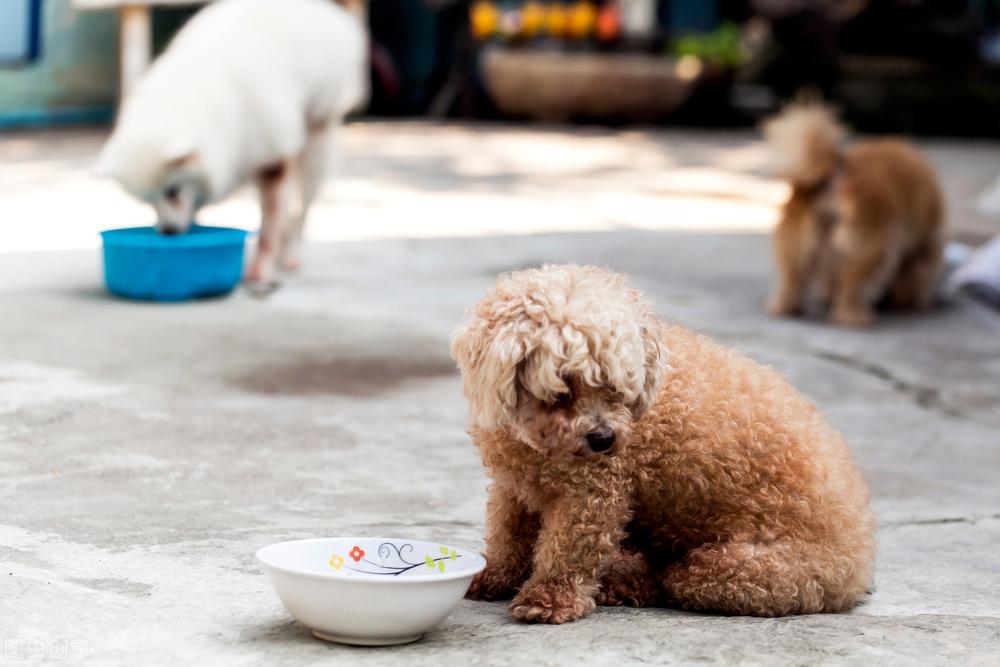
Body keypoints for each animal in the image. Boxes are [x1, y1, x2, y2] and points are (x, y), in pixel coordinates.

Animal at [96, 0, 368, 290]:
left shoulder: (271, 155)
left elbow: (269, 226)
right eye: (148, 201)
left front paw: (261, 269)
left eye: (172, 191)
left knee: (303, 209)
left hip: (317, 135)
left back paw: (291, 253)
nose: (169, 233)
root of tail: (325, 12)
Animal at [764, 103, 944, 328]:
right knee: (852, 290)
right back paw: (856, 317)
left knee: (793, 283)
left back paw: (788, 308)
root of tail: (834, 173)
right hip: (873, 253)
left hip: (797, 252)